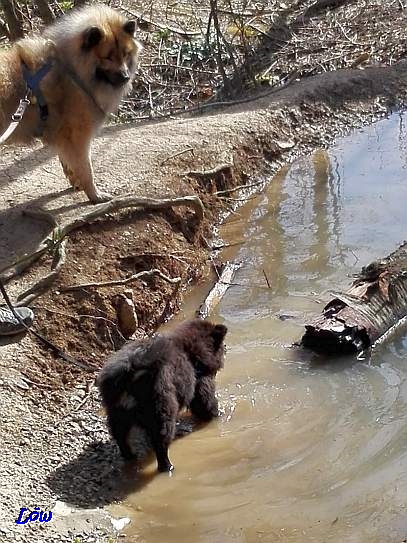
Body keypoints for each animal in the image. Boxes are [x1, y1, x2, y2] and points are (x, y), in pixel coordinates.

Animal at [0, 5, 143, 202]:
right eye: (108, 57)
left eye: (126, 54)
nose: (125, 77)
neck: (71, 70)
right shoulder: (78, 137)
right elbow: (87, 169)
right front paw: (95, 195)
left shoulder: (64, 135)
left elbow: (68, 162)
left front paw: (76, 182)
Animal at [97, 318, 228, 472]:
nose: (226, 349)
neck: (190, 351)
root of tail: (129, 376)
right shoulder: (199, 381)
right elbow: (205, 401)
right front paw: (218, 414)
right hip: (160, 403)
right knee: (161, 439)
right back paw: (167, 466)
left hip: (116, 410)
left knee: (120, 435)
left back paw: (131, 456)